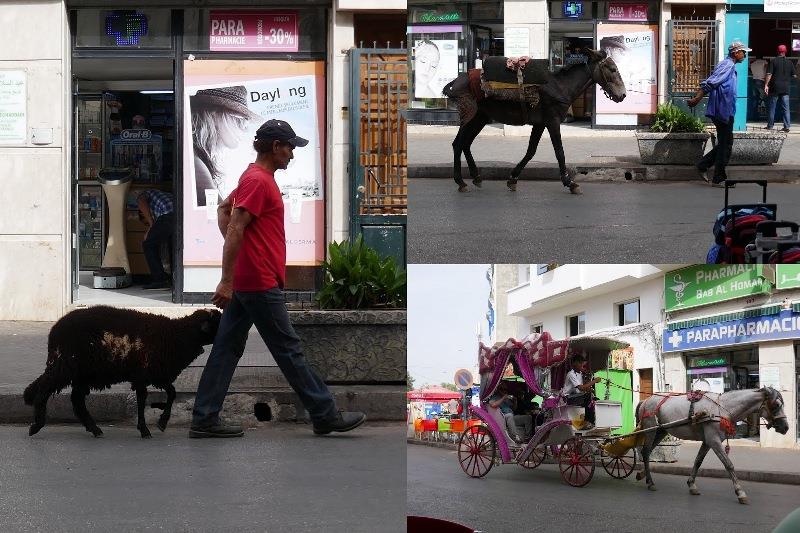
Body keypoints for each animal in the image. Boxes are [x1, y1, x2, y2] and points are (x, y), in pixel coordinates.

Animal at [24, 306, 222, 438]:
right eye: (217, 322)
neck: (177, 335)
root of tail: (55, 330)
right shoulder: (143, 374)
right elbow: (142, 401)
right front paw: (146, 429)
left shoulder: (156, 374)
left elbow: (171, 393)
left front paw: (161, 422)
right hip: (66, 365)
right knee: (44, 390)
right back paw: (36, 426)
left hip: (81, 372)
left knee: (76, 400)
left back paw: (94, 429)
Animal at [444, 50, 624, 193]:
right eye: (613, 69)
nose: (623, 95)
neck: (560, 87)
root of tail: (457, 81)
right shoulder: (552, 121)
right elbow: (559, 152)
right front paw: (569, 182)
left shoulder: (540, 124)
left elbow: (531, 151)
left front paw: (513, 178)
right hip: (469, 116)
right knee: (458, 144)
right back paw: (460, 181)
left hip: (480, 117)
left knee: (466, 144)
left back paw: (476, 177)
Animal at [636, 386, 792, 502]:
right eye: (776, 405)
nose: (785, 427)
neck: (721, 409)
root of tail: (646, 400)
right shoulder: (714, 441)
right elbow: (728, 464)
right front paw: (740, 492)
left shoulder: (707, 441)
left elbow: (698, 461)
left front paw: (691, 484)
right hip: (651, 430)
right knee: (646, 451)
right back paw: (650, 482)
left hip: (661, 431)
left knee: (648, 451)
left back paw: (643, 475)